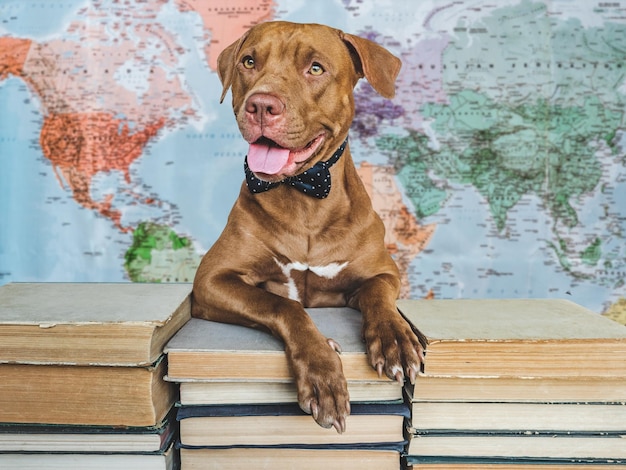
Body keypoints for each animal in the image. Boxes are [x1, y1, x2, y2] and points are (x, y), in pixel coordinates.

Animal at [190, 21, 424, 434]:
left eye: (315, 68)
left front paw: (395, 338)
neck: (304, 197)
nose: (262, 105)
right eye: (249, 62)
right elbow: (284, 305)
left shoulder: (383, 272)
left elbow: (378, 294)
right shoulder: (211, 280)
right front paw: (321, 370)